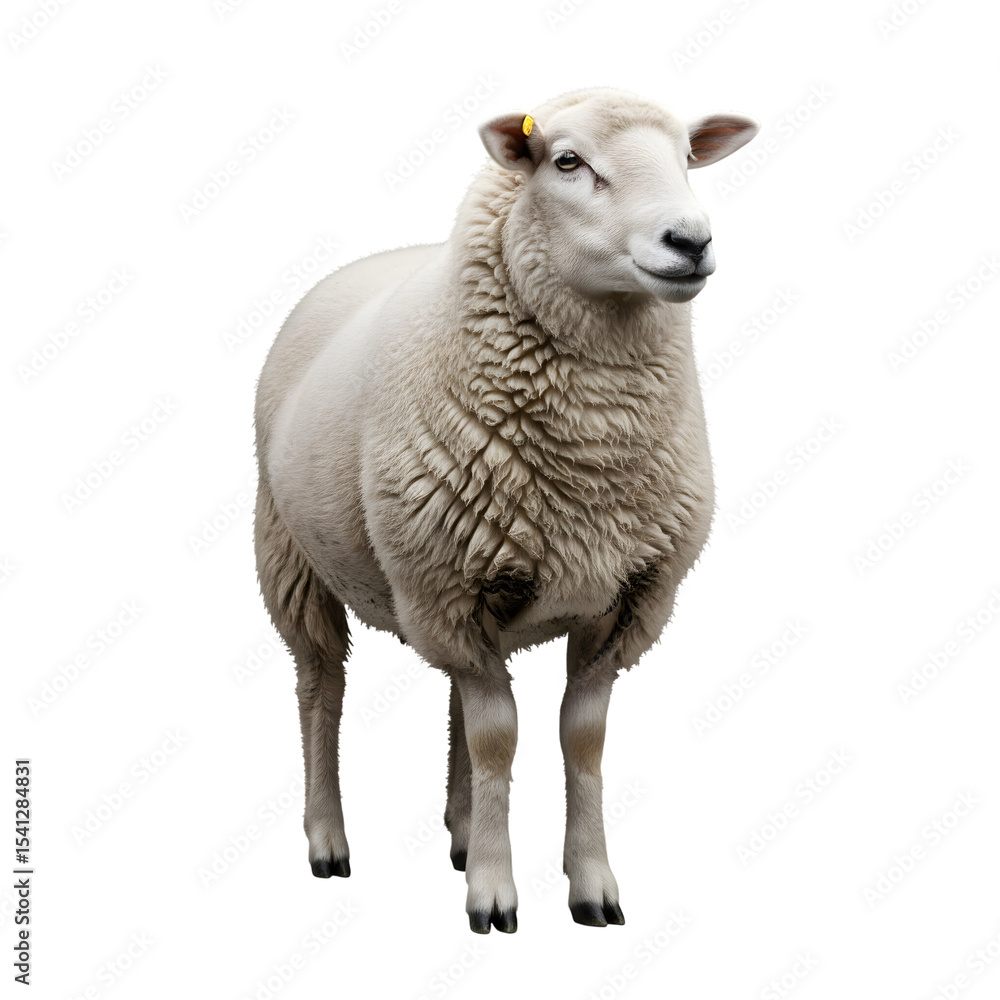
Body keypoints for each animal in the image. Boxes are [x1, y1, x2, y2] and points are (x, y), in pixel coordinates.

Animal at [253, 87, 758, 934]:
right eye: (568, 161)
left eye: (688, 158)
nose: (690, 242)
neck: (593, 459)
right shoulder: (448, 588)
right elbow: (499, 739)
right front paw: (494, 893)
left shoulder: (625, 599)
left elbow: (577, 739)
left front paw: (590, 884)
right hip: (291, 555)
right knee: (321, 688)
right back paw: (328, 839)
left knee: (457, 697)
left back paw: (460, 832)